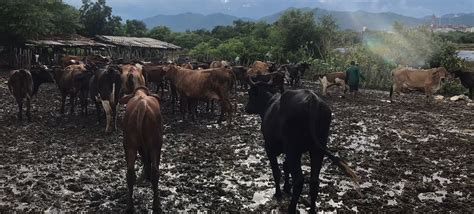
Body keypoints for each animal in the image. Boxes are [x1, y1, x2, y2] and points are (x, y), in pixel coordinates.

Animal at [244, 78, 360, 214]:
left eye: (250, 93)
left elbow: (277, 171)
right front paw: (286, 188)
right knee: (314, 181)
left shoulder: (270, 147)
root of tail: (312, 100)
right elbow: (286, 166)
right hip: (316, 150)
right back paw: (312, 210)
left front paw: (278, 193)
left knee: (299, 180)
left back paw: (291, 209)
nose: (246, 108)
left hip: (294, 149)